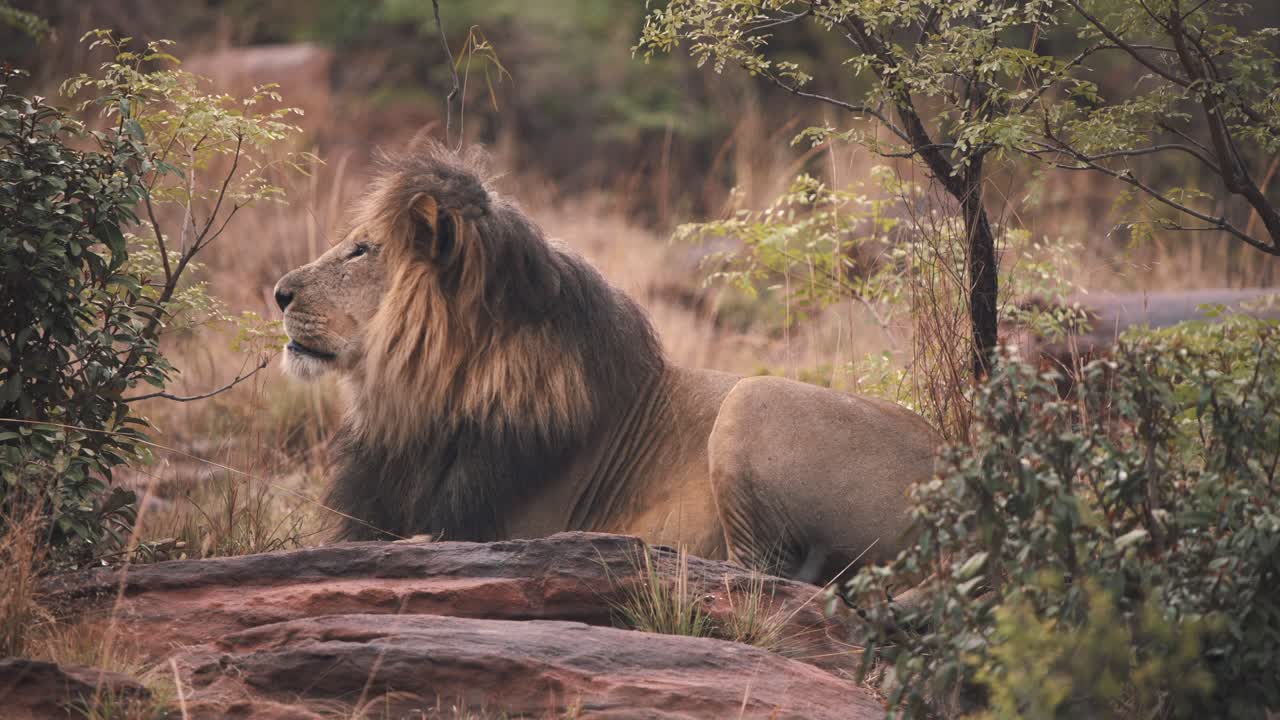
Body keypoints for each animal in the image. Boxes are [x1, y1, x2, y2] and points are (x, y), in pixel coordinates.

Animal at [273, 141, 939, 584]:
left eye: (361, 250)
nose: (278, 293)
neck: (422, 400)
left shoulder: (494, 522)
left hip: (755, 399)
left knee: (763, 574)